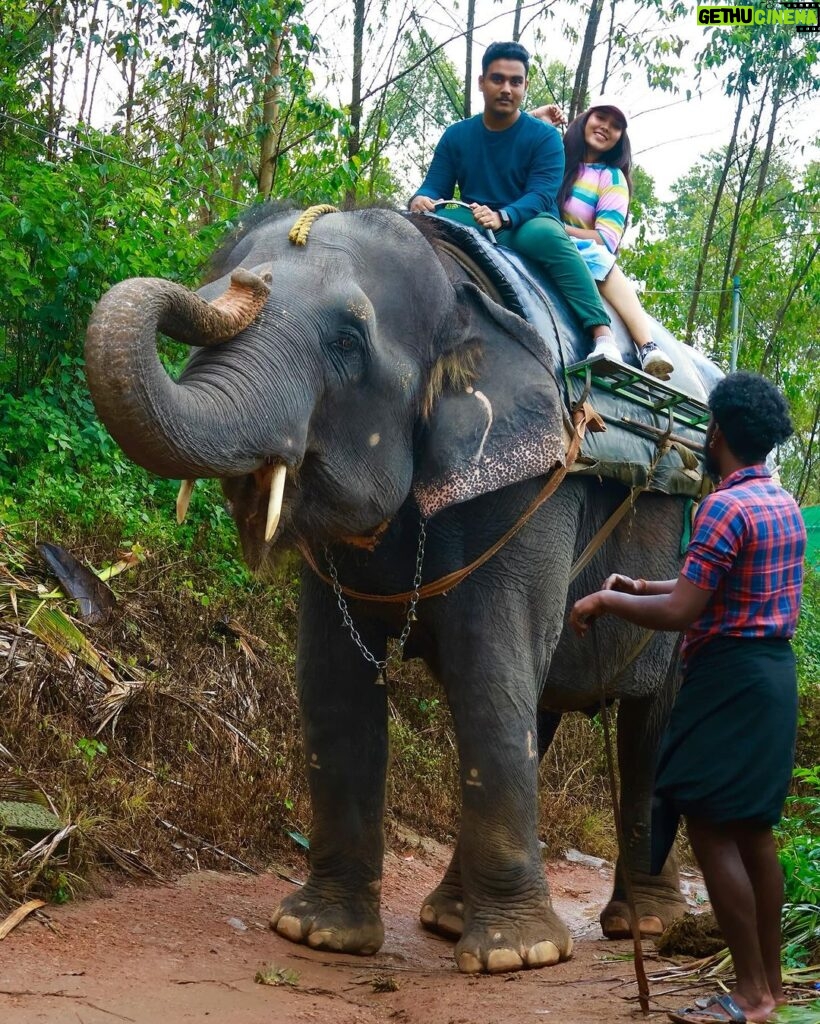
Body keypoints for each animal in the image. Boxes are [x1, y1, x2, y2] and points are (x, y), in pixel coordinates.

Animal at [84, 201, 708, 974]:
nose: (243, 282)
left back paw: (641, 925)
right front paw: (318, 934)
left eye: (348, 342)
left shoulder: (535, 483)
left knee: (649, 721)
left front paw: (516, 957)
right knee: (537, 705)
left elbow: (485, 668)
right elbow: (333, 680)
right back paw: (448, 916)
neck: (460, 284)